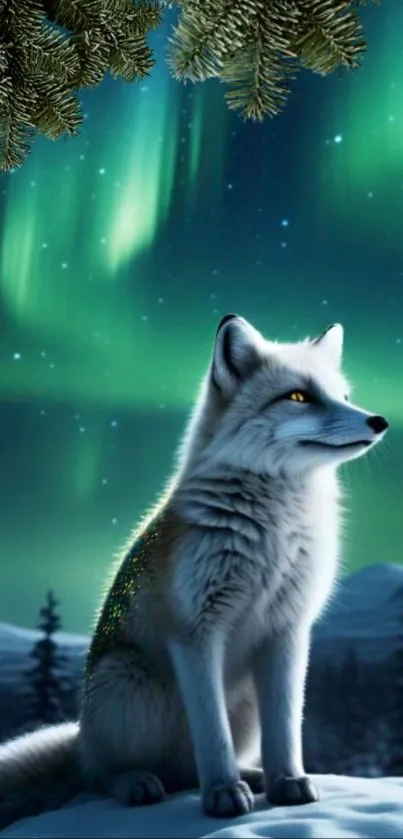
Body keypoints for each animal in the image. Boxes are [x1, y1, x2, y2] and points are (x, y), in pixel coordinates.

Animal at [0, 314, 389, 829]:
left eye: (343, 395)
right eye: (299, 396)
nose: (380, 421)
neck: (271, 532)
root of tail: (82, 737)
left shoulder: (289, 630)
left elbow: (286, 726)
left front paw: (287, 784)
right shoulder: (195, 632)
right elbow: (212, 733)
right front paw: (223, 793)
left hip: (240, 703)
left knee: (182, 770)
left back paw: (251, 777)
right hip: (128, 681)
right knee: (104, 776)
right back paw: (137, 784)